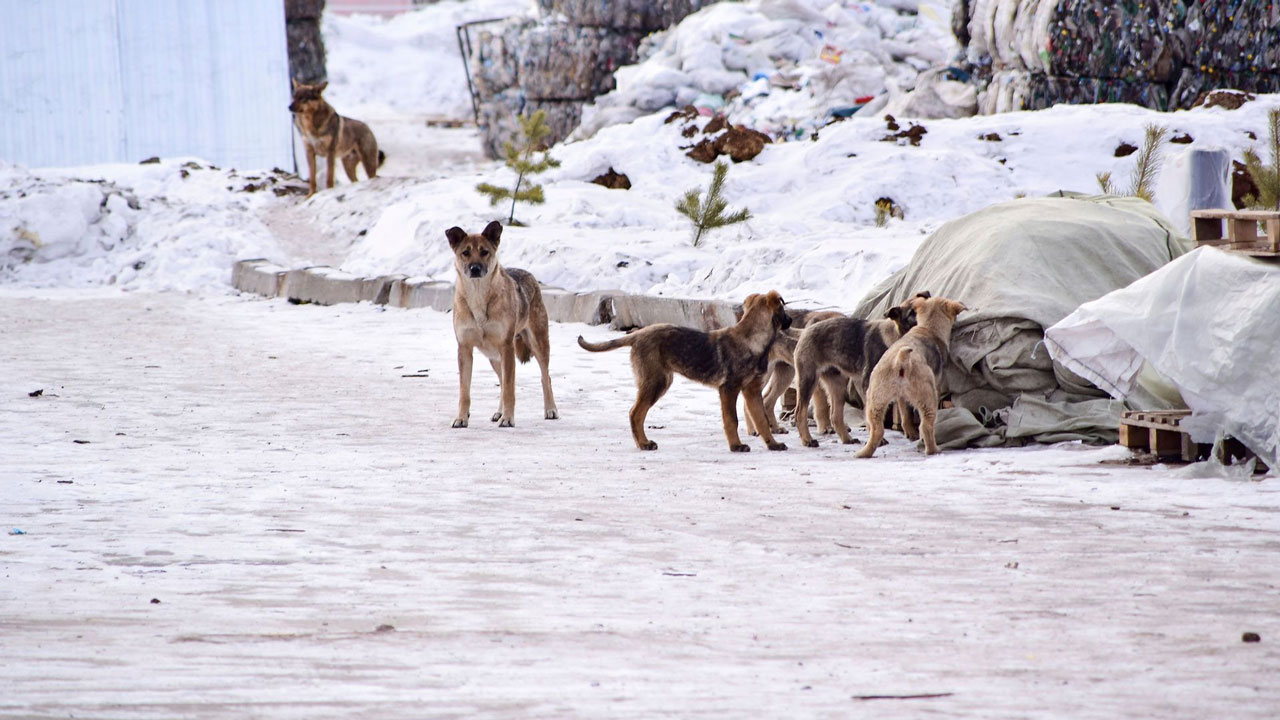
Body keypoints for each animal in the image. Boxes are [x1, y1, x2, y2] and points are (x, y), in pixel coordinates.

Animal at [578, 289, 793, 448]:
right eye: (784, 309)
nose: (791, 321)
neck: (752, 340)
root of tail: (637, 334)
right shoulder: (728, 389)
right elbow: (732, 419)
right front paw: (736, 446)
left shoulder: (751, 390)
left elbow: (761, 418)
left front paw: (773, 444)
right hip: (656, 382)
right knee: (635, 412)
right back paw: (644, 444)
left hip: (659, 381)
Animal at [855, 294, 962, 456]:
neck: (927, 328)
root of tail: (900, 360)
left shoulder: (901, 398)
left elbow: (905, 413)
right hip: (927, 397)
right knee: (925, 426)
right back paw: (933, 450)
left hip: (876, 401)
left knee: (876, 430)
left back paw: (864, 453)